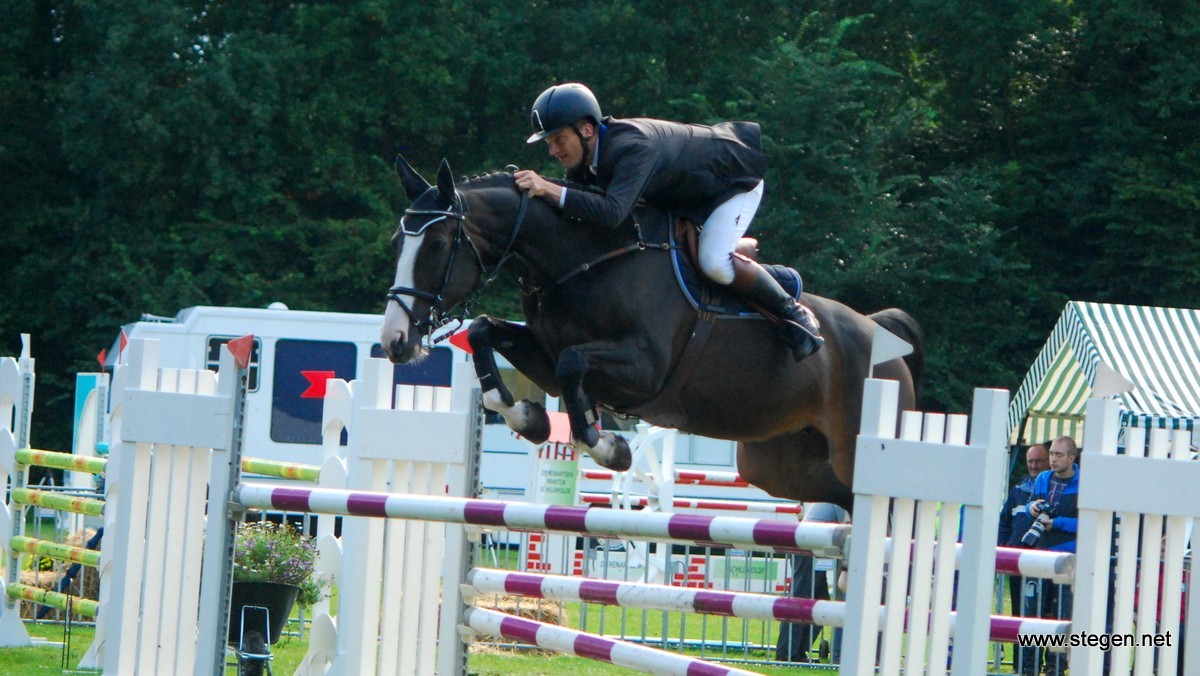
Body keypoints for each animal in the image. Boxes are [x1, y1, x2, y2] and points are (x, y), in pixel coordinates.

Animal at [379, 156, 921, 511]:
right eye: (396, 242)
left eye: (439, 244)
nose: (394, 342)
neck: (585, 259)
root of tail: (885, 341)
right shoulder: (545, 355)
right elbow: (488, 333)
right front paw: (527, 418)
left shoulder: (644, 369)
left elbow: (574, 364)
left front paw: (607, 446)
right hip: (779, 464)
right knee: (840, 496)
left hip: (852, 447)